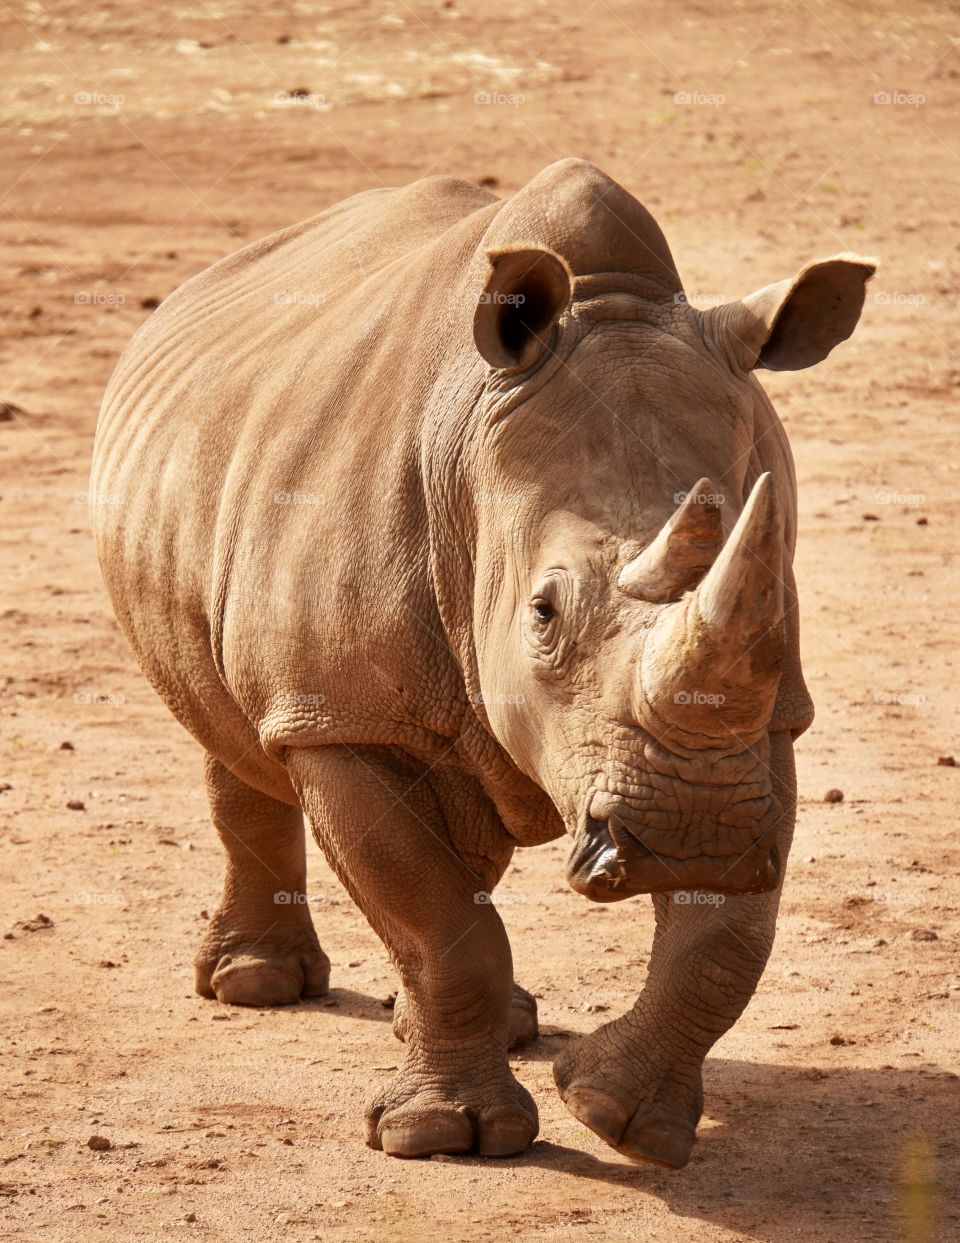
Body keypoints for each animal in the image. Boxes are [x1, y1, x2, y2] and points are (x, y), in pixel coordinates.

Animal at [91, 158, 874, 1166]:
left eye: (780, 588)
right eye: (543, 613)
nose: (688, 840)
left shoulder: (764, 722)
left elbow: (728, 937)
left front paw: (622, 1116)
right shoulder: (337, 712)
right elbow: (440, 923)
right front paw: (445, 1138)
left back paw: (493, 1025)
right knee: (241, 733)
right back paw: (254, 987)